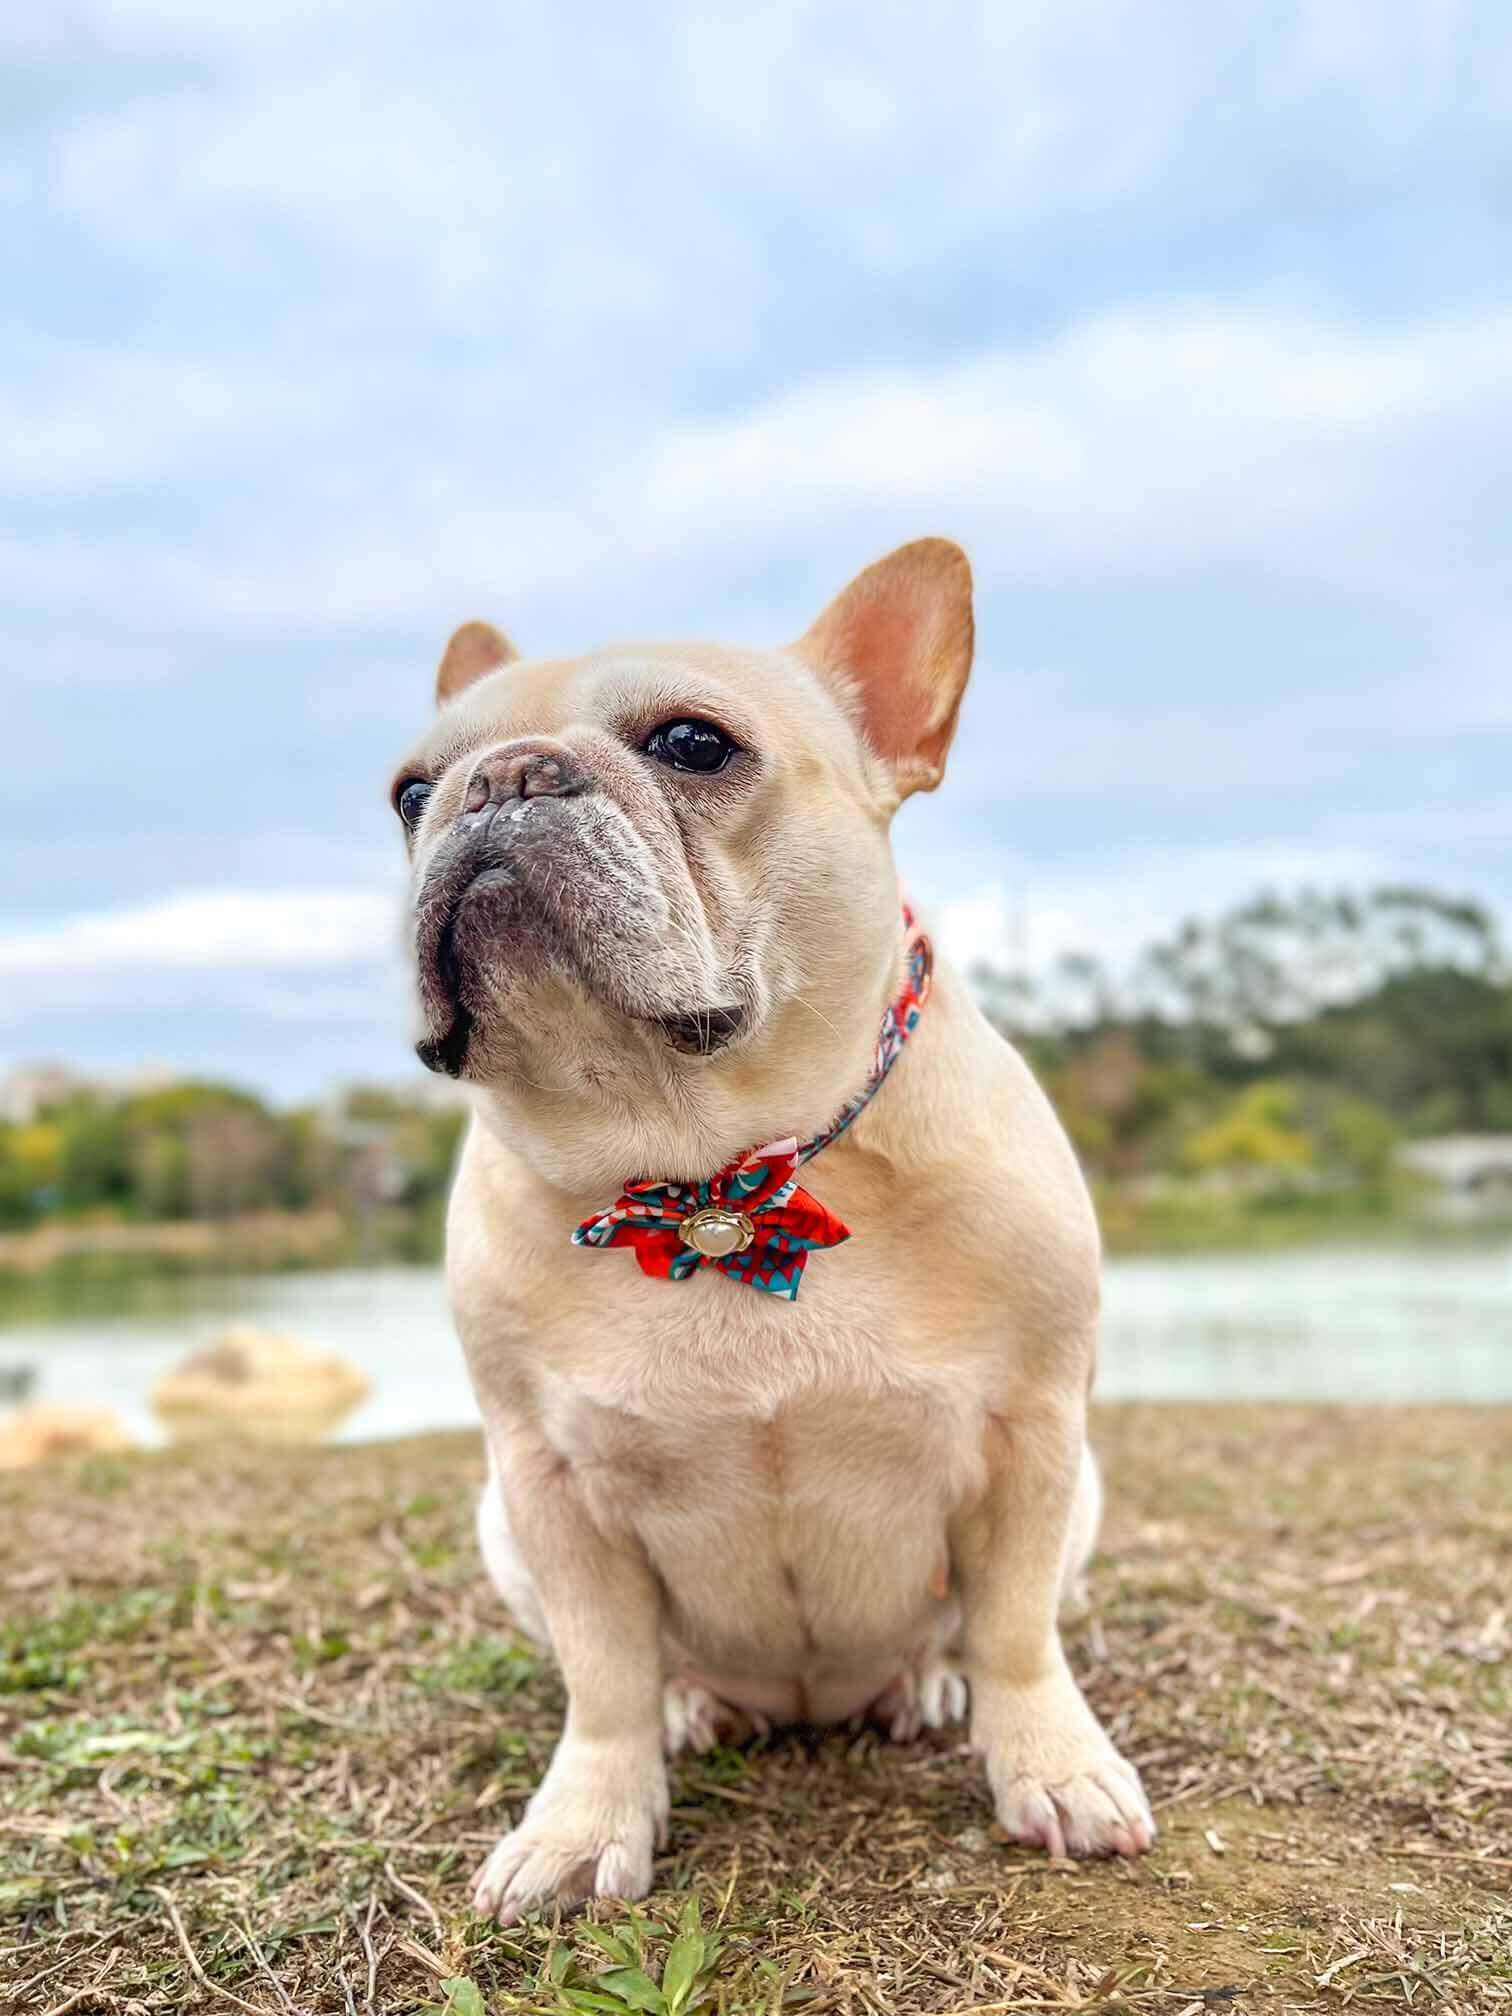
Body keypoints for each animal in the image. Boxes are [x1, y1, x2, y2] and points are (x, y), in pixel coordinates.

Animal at [393, 536, 1161, 1919]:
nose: (499, 782)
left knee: (961, 1631)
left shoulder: (1034, 1439)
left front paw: (1052, 1767)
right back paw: (693, 1706)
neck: (713, 1181)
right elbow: (603, 1677)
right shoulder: (545, 1484)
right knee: (652, 1673)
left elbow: (1016, 1629)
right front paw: (585, 1824)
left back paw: (926, 1684)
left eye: (694, 743)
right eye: (407, 794)